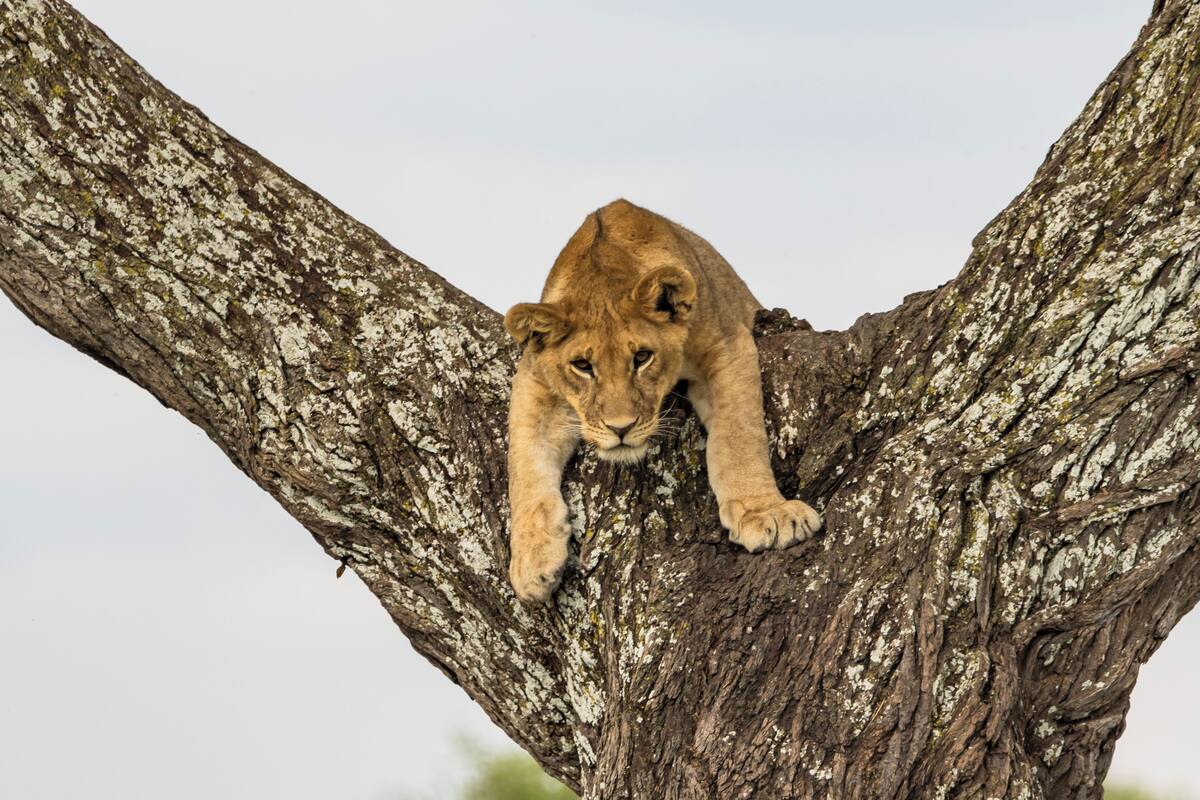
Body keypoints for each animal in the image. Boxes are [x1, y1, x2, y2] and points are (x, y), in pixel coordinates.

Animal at [504, 199, 822, 603]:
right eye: (583, 366)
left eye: (642, 357)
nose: (620, 428)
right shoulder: (533, 379)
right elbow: (524, 466)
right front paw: (530, 563)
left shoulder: (726, 344)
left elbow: (738, 436)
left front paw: (767, 514)